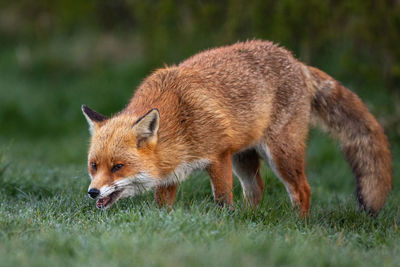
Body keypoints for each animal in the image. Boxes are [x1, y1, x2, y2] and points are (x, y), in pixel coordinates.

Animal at [81, 39, 390, 217]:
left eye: (118, 167)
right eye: (94, 166)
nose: (92, 192)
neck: (180, 121)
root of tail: (296, 61)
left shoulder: (219, 156)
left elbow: (222, 199)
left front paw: (222, 224)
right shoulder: (170, 174)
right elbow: (163, 206)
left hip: (280, 155)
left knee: (302, 190)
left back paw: (297, 225)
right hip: (245, 157)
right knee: (257, 190)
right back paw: (247, 221)